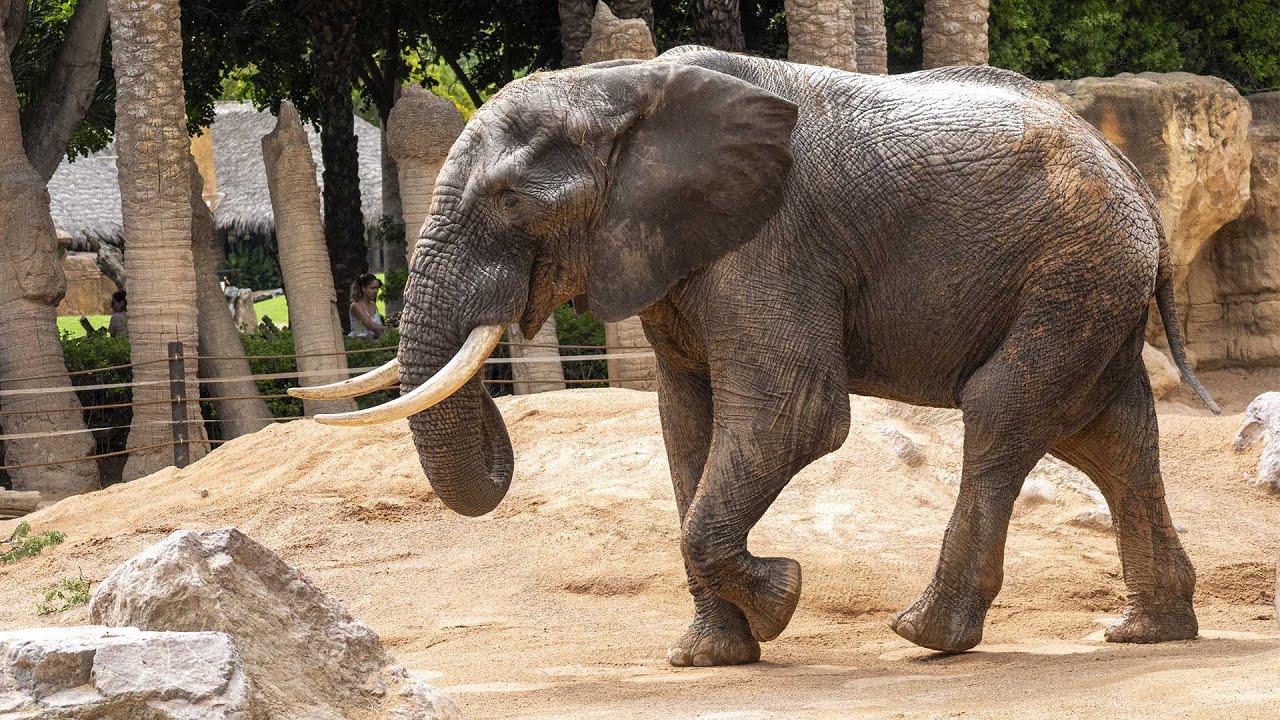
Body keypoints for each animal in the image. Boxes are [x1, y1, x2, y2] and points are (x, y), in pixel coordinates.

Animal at [291, 46, 1220, 667]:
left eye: (513, 199)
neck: (622, 88)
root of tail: (1135, 177)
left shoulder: (770, 242)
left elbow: (794, 413)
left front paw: (781, 598)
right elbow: (685, 427)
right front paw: (709, 657)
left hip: (1073, 269)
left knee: (1004, 413)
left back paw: (925, 635)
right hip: (1090, 282)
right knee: (1108, 437)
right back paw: (1145, 631)